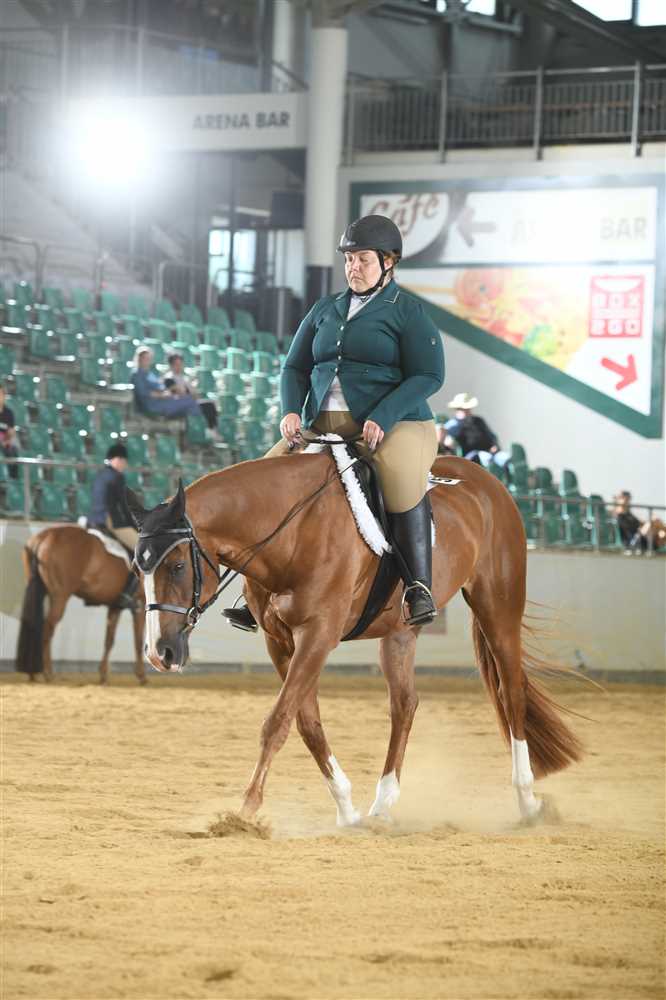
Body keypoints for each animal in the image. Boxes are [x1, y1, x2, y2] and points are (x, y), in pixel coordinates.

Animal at [15, 526, 146, 685]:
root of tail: (44, 536)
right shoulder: (141, 604)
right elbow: (139, 642)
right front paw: (141, 676)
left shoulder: (115, 606)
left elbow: (109, 640)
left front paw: (103, 675)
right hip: (60, 596)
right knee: (47, 629)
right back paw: (48, 673)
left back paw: (32, 674)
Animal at [126, 451, 582, 826]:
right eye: (138, 569)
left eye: (177, 566)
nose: (159, 653)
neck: (293, 532)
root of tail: (489, 483)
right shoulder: (281, 642)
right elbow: (306, 723)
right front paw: (346, 810)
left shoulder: (318, 635)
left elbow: (277, 721)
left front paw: (244, 811)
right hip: (400, 633)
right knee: (405, 704)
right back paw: (382, 803)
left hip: (498, 607)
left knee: (511, 694)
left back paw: (527, 801)